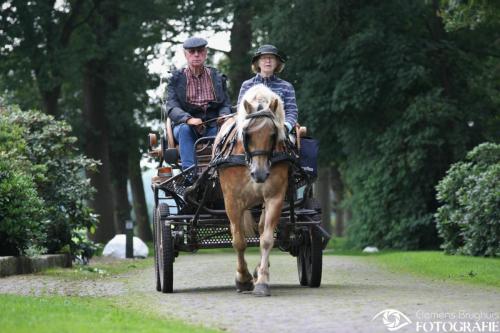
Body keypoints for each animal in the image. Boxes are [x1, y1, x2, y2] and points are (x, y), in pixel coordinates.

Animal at [214, 83, 290, 296]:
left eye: (273, 134)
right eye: (246, 134)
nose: (260, 174)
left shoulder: (274, 197)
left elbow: (266, 239)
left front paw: (262, 280)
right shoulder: (232, 200)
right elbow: (239, 241)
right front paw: (243, 279)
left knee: (262, 228)